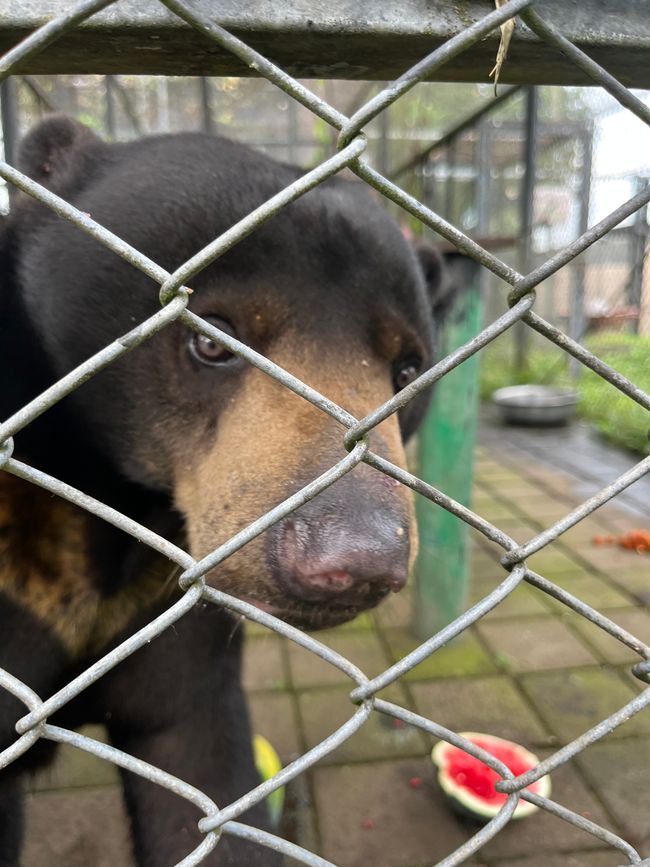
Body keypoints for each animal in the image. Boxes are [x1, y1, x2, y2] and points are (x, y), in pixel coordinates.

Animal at [0, 115, 452, 866]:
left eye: (408, 370)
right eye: (211, 339)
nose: (356, 558)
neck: (121, 505)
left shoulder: (178, 625)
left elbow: (201, 772)